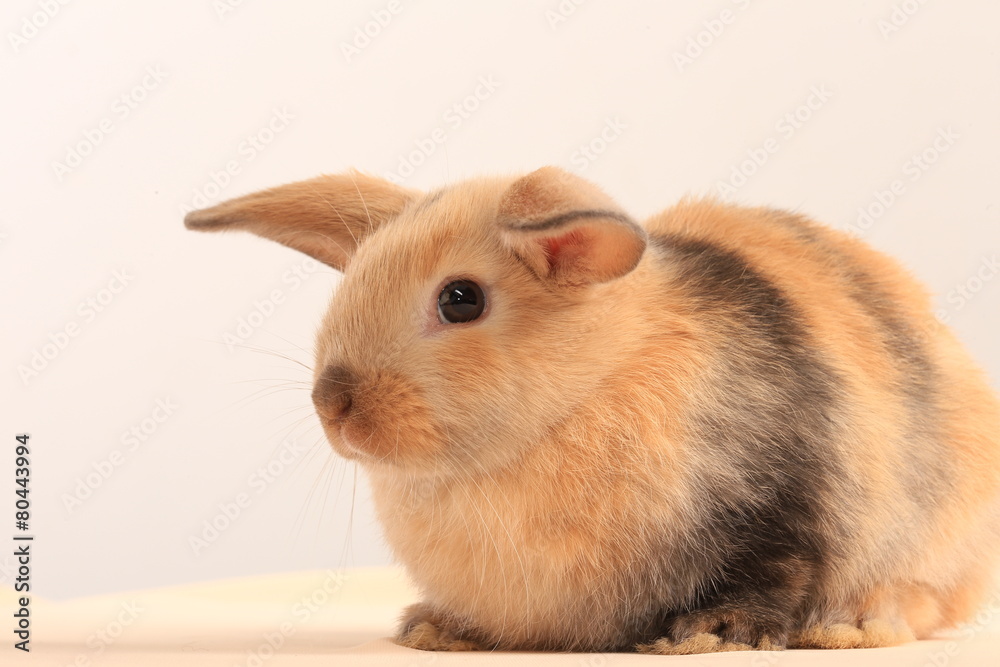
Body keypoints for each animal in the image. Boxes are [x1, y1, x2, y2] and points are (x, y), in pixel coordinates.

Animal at [184, 166, 1000, 654]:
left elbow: (776, 568)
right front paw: (437, 629)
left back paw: (857, 624)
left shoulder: (783, 501)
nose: (334, 404)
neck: (584, 391)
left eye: (460, 299)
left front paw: (711, 634)